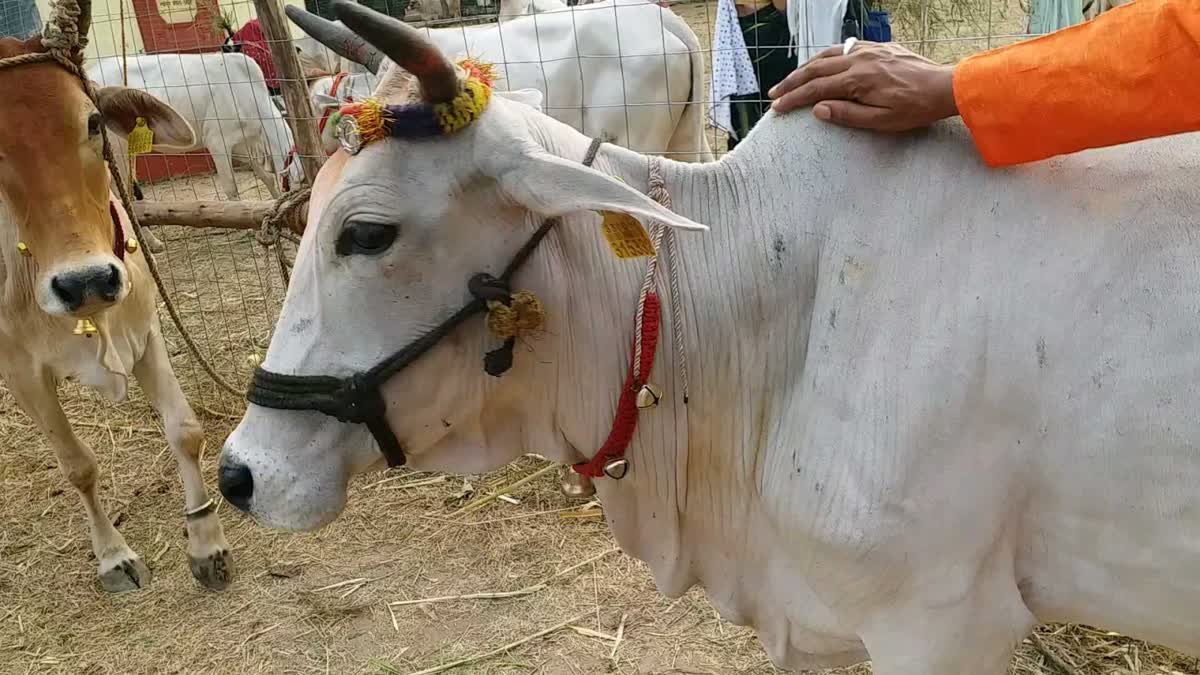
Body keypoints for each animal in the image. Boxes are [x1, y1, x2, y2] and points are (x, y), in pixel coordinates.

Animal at [88, 52, 302, 199]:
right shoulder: (217, 142)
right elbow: (232, 190)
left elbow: (268, 179)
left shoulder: (246, 145)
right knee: (120, 193)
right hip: (116, 149)